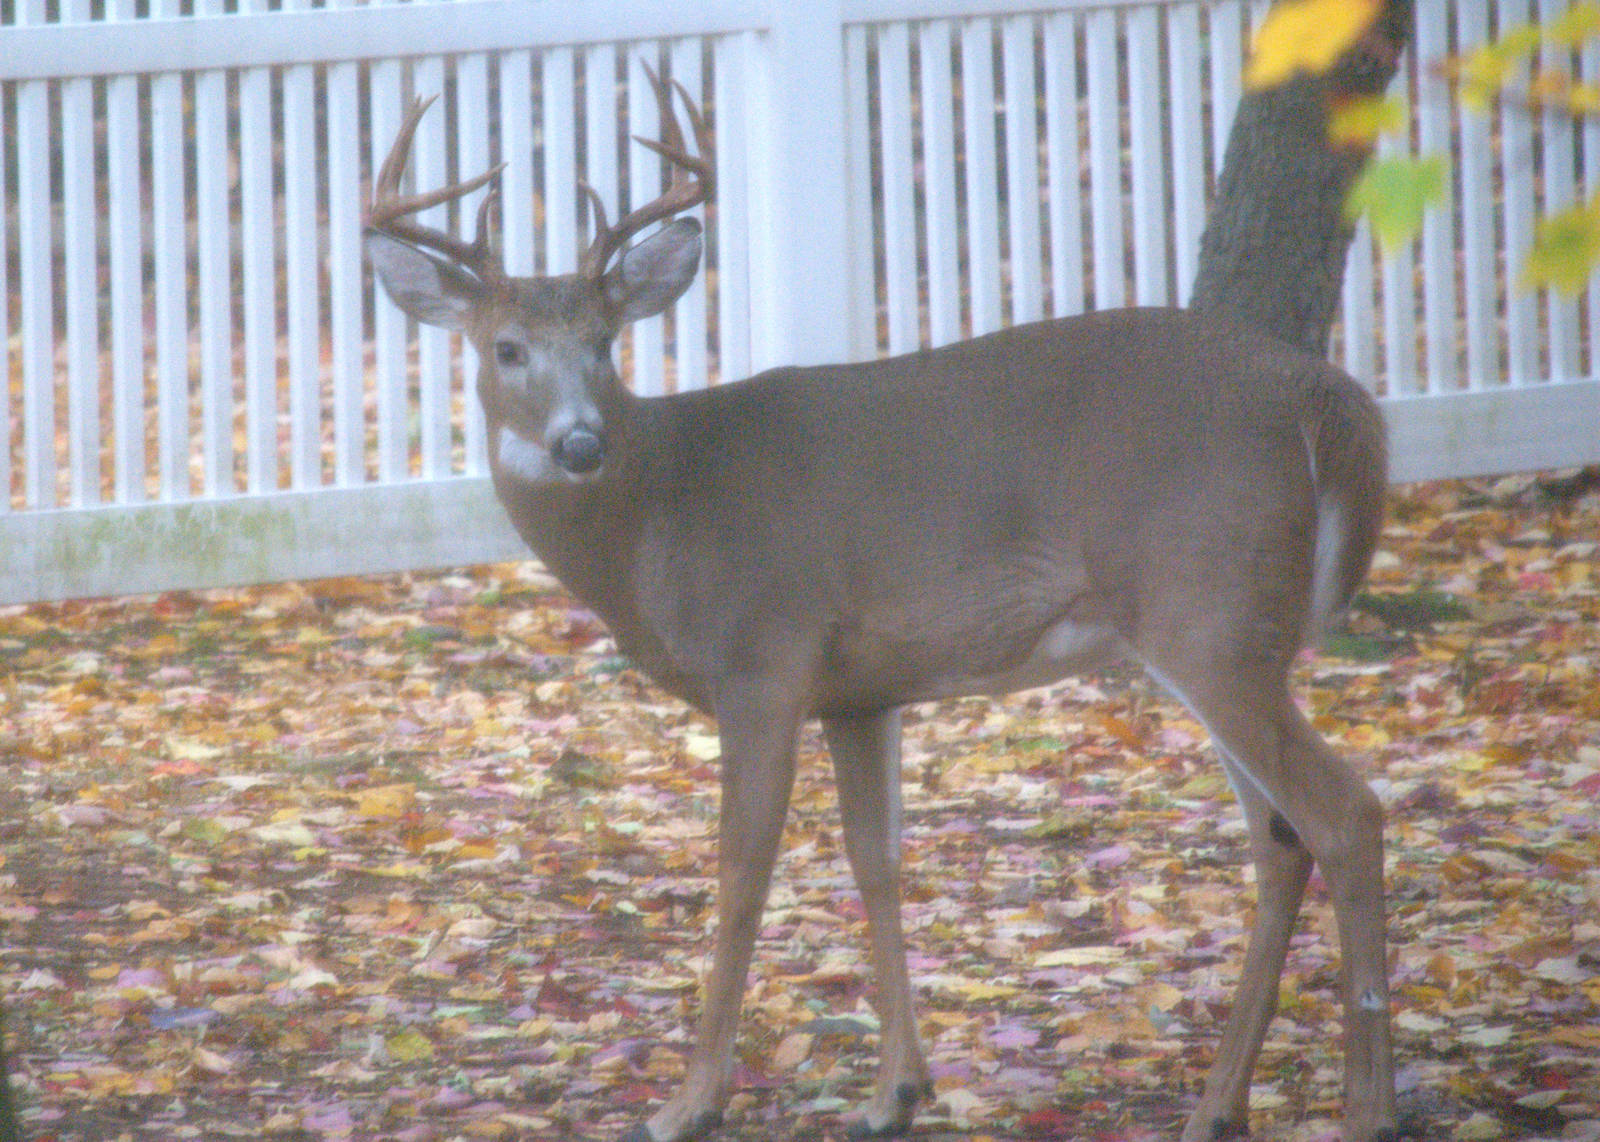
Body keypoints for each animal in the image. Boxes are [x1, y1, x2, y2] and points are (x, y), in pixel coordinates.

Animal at [364, 66, 1397, 1142]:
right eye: (508, 348)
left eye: (606, 343)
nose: (578, 442)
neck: (658, 510)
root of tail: (1322, 392)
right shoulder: (861, 691)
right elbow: (877, 860)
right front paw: (895, 1090)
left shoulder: (763, 653)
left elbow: (741, 868)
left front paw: (689, 1102)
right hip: (1228, 631)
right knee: (1279, 839)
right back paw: (1215, 1106)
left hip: (1209, 609)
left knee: (1345, 813)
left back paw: (1365, 1108)